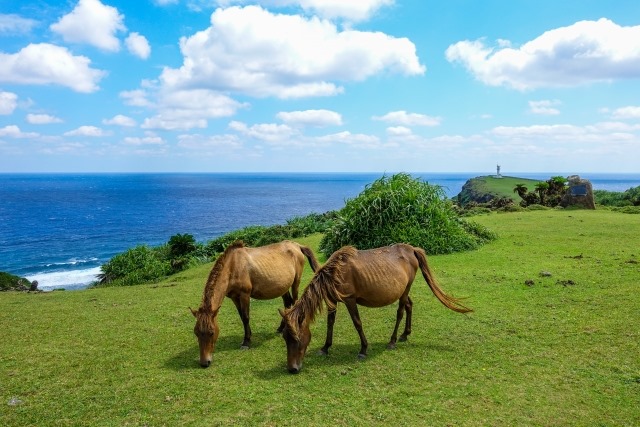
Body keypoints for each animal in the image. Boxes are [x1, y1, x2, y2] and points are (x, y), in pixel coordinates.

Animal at [190, 241, 320, 368]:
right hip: (283, 286)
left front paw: (246, 342)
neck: (233, 266)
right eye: (196, 332)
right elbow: (242, 317)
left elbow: (246, 317)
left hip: (295, 283)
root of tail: (297, 245)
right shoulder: (234, 298)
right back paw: (281, 327)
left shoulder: (245, 295)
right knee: (287, 303)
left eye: (211, 332)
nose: (204, 362)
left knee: (294, 302)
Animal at [280, 244, 470, 374]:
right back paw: (405, 334)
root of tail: (412, 249)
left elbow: (357, 323)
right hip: (403, 290)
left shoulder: (350, 300)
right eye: (285, 337)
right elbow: (330, 322)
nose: (292, 368)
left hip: (405, 290)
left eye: (297, 338)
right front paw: (325, 347)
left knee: (400, 311)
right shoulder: (332, 301)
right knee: (409, 305)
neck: (334, 273)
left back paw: (393, 341)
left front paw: (363, 349)